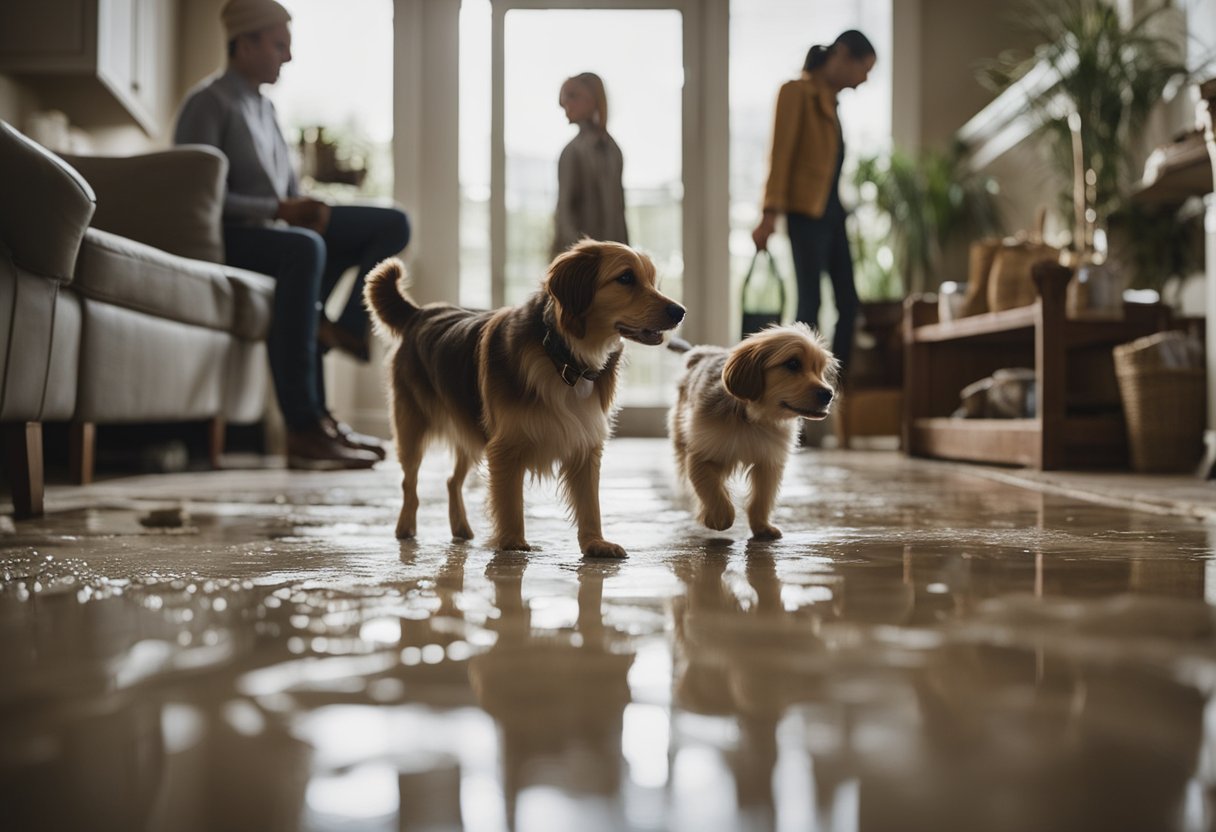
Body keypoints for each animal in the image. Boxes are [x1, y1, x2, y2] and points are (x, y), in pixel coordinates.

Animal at [362, 237, 685, 554]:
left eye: (652, 280)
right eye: (626, 278)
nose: (680, 311)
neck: (564, 357)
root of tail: (420, 313)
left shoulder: (586, 442)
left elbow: (589, 503)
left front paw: (595, 543)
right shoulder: (504, 445)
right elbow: (510, 502)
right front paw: (512, 542)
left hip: (469, 427)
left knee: (452, 480)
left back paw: (461, 528)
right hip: (412, 427)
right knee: (409, 481)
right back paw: (405, 527)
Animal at [671, 325, 841, 540]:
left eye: (819, 369)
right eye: (793, 364)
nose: (829, 394)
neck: (753, 418)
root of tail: (704, 353)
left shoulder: (769, 462)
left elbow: (762, 499)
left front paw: (761, 526)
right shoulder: (701, 454)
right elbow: (710, 488)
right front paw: (718, 517)